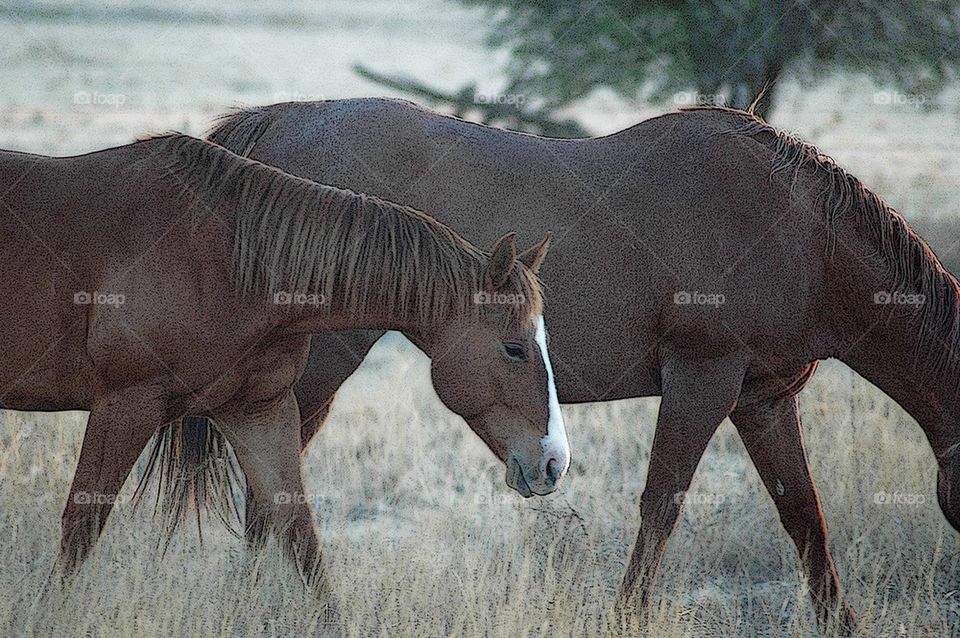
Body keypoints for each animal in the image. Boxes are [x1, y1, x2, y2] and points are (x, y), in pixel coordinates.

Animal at [0, 132, 569, 597]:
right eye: (514, 348)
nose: (554, 462)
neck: (230, 262)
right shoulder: (125, 406)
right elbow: (81, 528)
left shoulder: (258, 411)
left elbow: (302, 540)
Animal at [154, 97, 960, 632]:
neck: (795, 227)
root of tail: (274, 128)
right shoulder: (702, 379)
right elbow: (661, 506)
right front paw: (625, 617)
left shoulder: (763, 398)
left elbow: (804, 517)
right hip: (313, 369)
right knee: (268, 494)